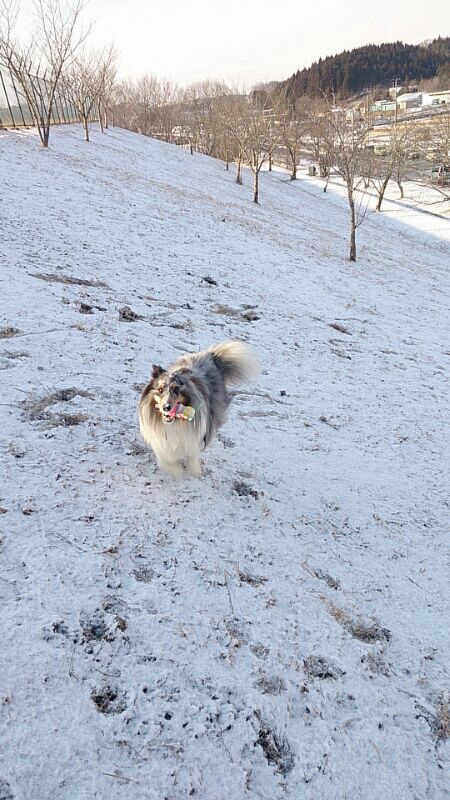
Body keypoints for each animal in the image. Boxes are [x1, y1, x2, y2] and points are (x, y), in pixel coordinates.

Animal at [139, 340, 259, 477]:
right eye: (160, 390)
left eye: (176, 389)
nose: (166, 407)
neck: (175, 423)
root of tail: (211, 357)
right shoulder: (161, 444)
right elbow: (166, 462)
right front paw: (178, 471)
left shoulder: (194, 438)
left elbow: (192, 457)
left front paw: (193, 472)